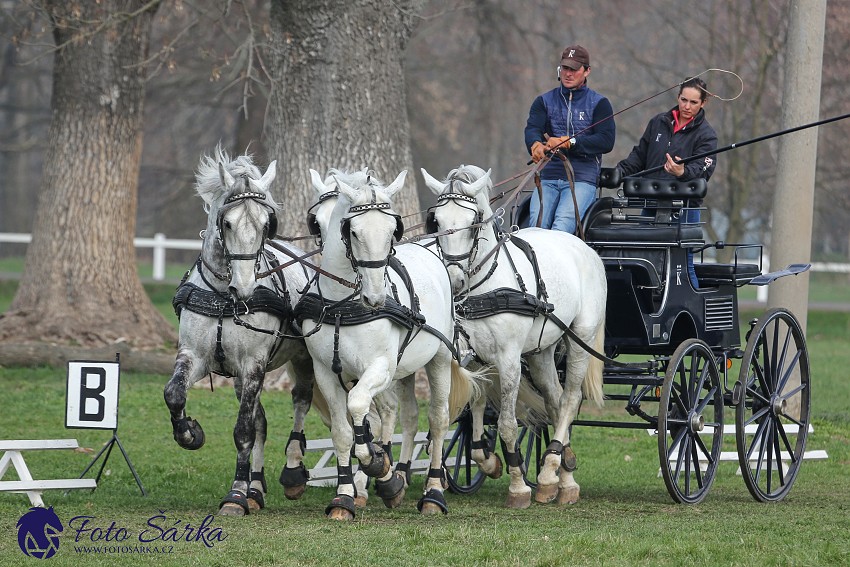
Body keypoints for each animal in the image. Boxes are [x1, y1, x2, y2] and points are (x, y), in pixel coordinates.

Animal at [162, 149, 314, 516]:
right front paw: (189, 433)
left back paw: (292, 472)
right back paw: (255, 488)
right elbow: (175, 394)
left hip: (303, 359)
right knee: (262, 422)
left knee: (301, 401)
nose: (243, 287)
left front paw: (235, 495)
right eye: (227, 222)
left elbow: (243, 430)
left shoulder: (253, 364)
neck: (223, 297)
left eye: (265, 224)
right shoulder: (196, 356)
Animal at [296, 168, 484, 520]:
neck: (343, 305)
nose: (375, 297)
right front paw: (346, 495)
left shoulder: (380, 367)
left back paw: (433, 492)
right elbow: (343, 432)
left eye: (391, 229)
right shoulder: (326, 372)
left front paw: (378, 467)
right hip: (404, 369)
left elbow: (358, 407)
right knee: (405, 414)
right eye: (352, 231)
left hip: (438, 358)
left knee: (437, 419)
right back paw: (400, 474)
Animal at [420, 166, 608, 508]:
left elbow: (507, 423)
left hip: (580, 337)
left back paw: (550, 471)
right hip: (541, 350)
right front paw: (489, 460)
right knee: (555, 399)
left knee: (570, 398)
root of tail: (585, 248)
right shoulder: (473, 355)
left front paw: (518, 486)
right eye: (436, 221)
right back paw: (562, 473)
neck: (486, 284)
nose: (453, 280)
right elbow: (476, 404)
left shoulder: (508, 358)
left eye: (474, 221)